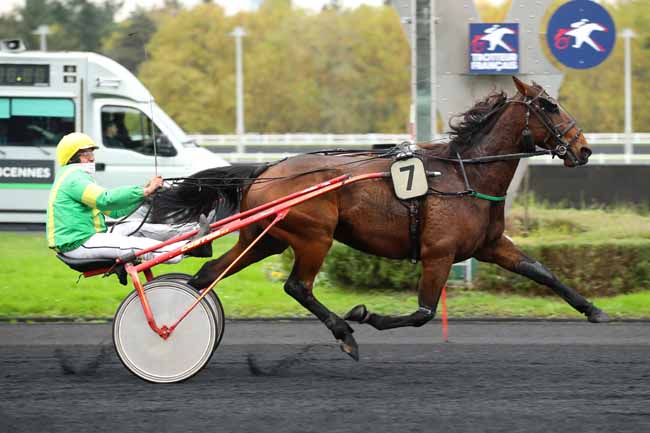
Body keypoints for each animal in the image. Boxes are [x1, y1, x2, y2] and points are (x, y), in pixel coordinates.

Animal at [151, 76, 608, 360]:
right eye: (549, 105)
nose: (584, 148)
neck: (466, 173)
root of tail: (265, 169)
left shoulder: (491, 246)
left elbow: (542, 271)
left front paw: (593, 310)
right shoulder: (439, 254)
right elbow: (423, 313)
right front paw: (364, 315)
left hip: (268, 238)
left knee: (209, 273)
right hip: (314, 236)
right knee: (297, 286)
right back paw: (344, 333)